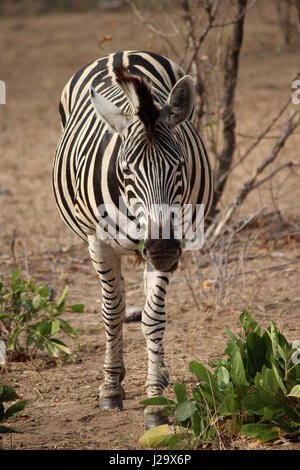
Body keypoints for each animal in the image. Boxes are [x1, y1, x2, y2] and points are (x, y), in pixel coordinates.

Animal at [54, 49, 213, 428]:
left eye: (180, 166)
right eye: (126, 169)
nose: (162, 248)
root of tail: (120, 53)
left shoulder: (174, 237)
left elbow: (153, 318)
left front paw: (155, 401)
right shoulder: (98, 241)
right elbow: (112, 312)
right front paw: (111, 388)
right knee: (119, 299)